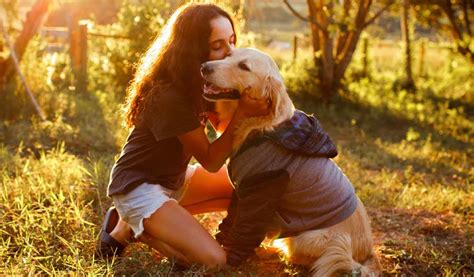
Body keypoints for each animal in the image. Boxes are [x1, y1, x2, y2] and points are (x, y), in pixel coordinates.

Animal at [200, 48, 382, 274]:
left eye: (244, 66)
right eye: (228, 55)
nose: (204, 66)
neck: (260, 127)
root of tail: (369, 252)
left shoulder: (262, 187)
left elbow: (245, 228)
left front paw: (231, 258)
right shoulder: (242, 190)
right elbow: (231, 219)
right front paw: (221, 240)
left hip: (310, 238)